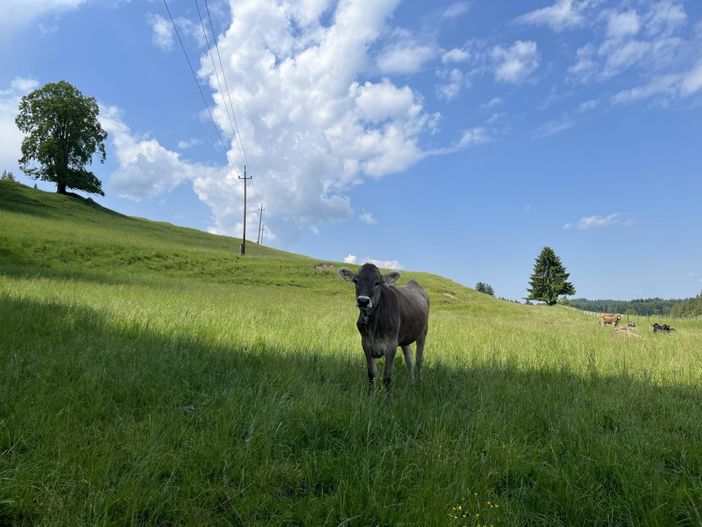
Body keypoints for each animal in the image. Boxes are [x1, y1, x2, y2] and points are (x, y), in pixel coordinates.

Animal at [336, 264, 428, 396]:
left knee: (419, 359)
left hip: (423, 332)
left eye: (377, 283)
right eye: (356, 281)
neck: (374, 326)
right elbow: (371, 375)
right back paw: (411, 383)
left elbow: (387, 378)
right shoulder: (366, 344)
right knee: (409, 359)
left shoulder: (391, 345)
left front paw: (387, 399)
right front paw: (372, 397)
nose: (363, 301)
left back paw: (419, 383)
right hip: (404, 337)